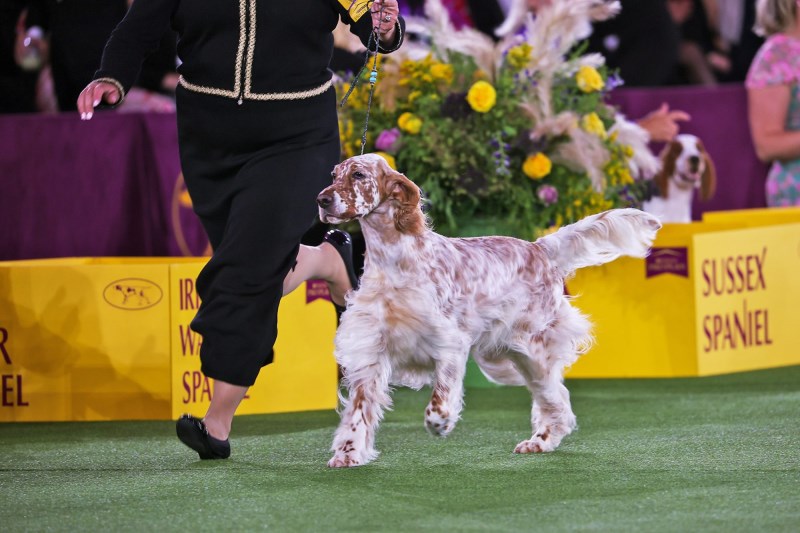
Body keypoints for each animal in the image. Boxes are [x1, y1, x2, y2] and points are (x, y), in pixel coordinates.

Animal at [316, 153, 660, 466]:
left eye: (359, 175)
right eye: (334, 174)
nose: (322, 199)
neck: (394, 260)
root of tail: (540, 248)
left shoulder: (450, 342)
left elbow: (441, 396)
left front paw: (439, 423)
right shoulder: (370, 349)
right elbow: (359, 411)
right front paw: (349, 453)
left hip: (533, 349)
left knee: (557, 399)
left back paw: (540, 440)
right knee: (555, 399)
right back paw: (540, 442)